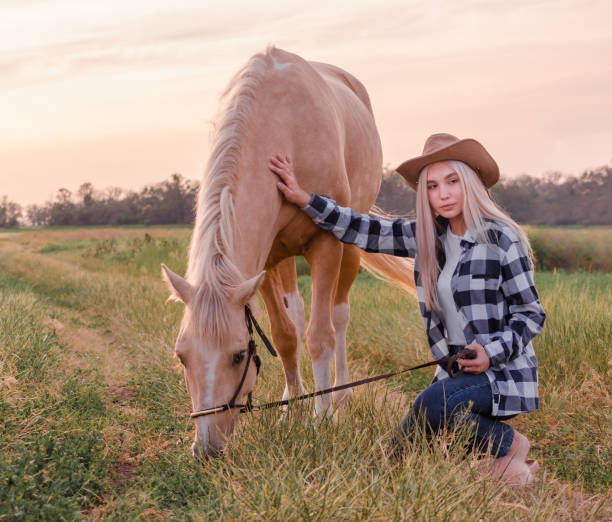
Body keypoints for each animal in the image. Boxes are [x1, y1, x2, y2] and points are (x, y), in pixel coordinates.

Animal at [160, 47, 414, 456]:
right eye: (181, 356)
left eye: (239, 355)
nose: (207, 448)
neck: (283, 132)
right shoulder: (263, 263)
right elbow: (285, 337)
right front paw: (293, 411)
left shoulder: (326, 246)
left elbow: (320, 335)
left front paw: (322, 417)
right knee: (294, 315)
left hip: (349, 249)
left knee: (339, 316)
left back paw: (340, 398)